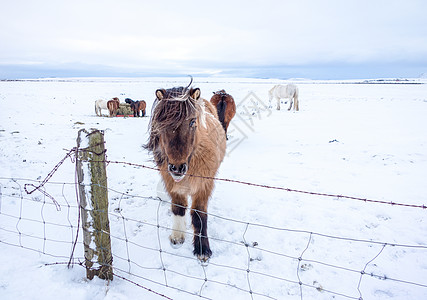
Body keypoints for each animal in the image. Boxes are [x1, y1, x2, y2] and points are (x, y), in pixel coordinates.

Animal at [145, 83, 227, 262]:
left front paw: (202, 248)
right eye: (161, 123)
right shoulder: (171, 183)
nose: (177, 168)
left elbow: (199, 215)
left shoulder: (204, 185)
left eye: (192, 122)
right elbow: (179, 208)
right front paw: (177, 236)